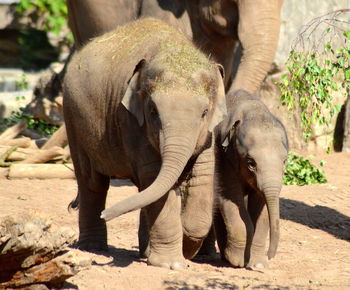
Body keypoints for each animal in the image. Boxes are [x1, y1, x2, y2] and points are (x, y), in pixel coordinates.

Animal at [62, 18, 227, 270]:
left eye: (204, 112)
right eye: (153, 112)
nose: (106, 214)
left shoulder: (209, 134)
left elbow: (202, 177)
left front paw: (184, 247)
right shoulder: (130, 120)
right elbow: (154, 178)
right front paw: (172, 264)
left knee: (140, 189)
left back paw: (142, 250)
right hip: (72, 117)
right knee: (92, 183)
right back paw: (93, 248)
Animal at [215, 89, 288, 268]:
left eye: (285, 161)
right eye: (251, 163)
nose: (270, 256)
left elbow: (261, 206)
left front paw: (258, 264)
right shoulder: (222, 157)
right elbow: (230, 198)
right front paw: (238, 261)